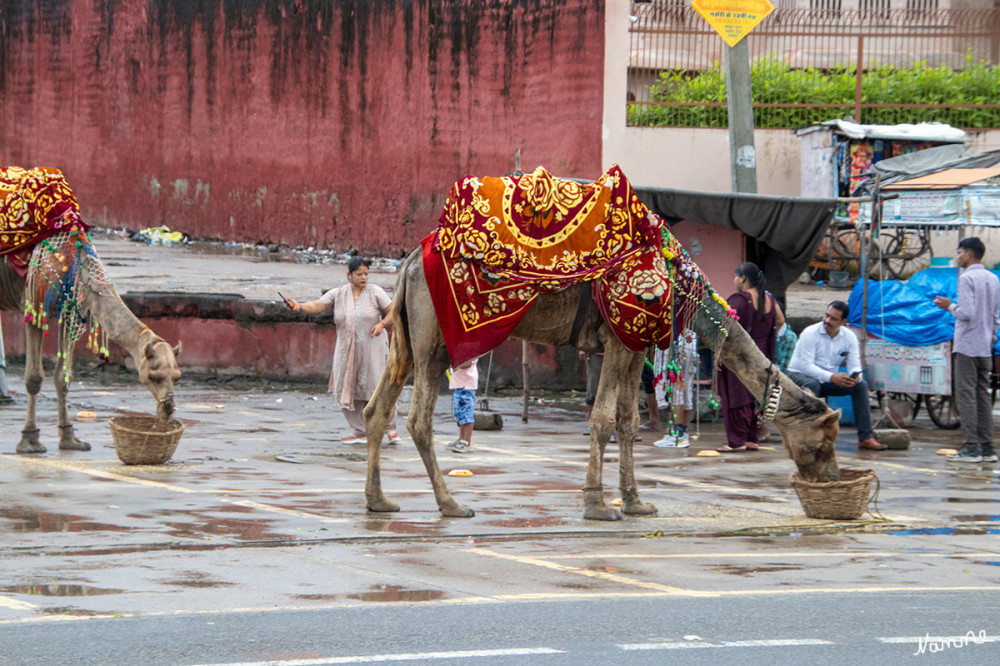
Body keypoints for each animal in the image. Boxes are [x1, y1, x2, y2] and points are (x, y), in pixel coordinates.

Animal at [1, 169, 181, 454]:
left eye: (177, 376)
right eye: (152, 376)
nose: (168, 409)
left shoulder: (70, 314)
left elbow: (63, 377)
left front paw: (70, 439)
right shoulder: (35, 307)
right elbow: (34, 377)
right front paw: (29, 441)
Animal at [364, 166, 840, 520]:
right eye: (824, 440)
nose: (833, 478)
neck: (680, 282)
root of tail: (409, 261)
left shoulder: (636, 344)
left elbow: (629, 421)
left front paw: (636, 503)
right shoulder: (618, 338)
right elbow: (604, 420)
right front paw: (597, 506)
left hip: (404, 339)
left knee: (377, 407)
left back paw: (379, 501)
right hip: (436, 339)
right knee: (418, 419)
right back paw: (451, 505)